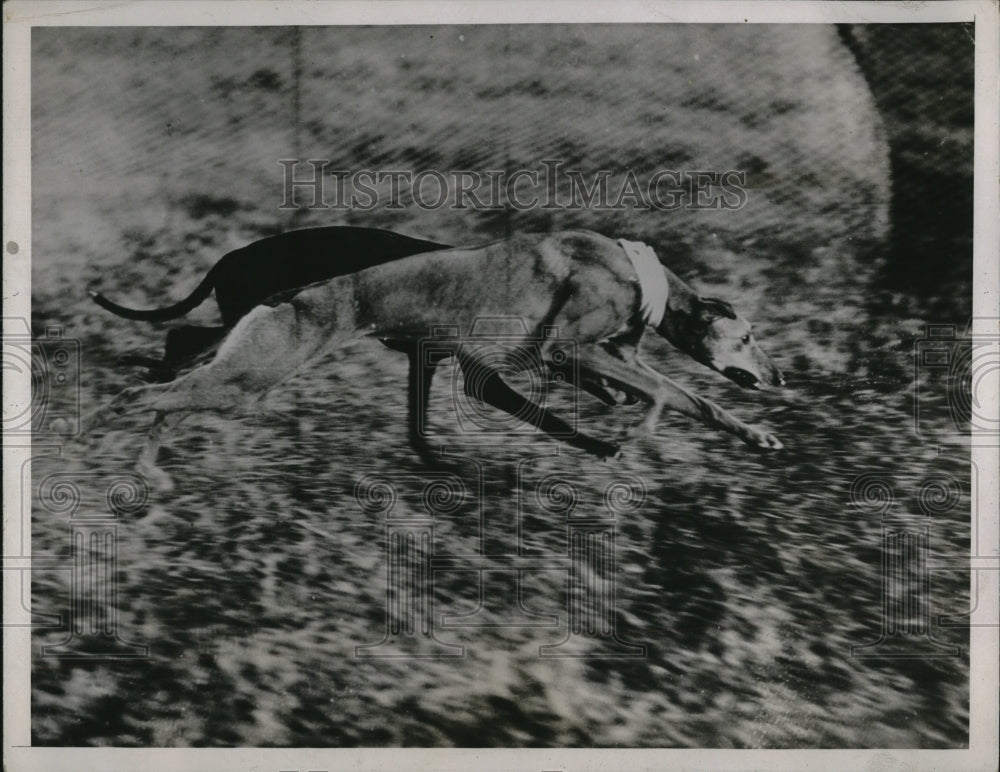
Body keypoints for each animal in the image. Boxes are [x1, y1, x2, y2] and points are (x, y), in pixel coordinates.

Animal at [90, 228, 784, 488]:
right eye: (749, 336)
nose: (780, 376)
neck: (640, 274)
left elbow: (697, 398)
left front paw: (758, 435)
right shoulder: (553, 352)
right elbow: (665, 393)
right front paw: (630, 436)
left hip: (239, 368)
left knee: (170, 389)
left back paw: (147, 464)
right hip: (251, 373)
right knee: (145, 395)